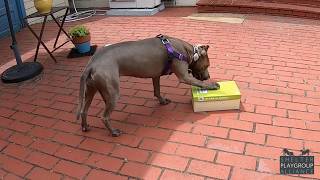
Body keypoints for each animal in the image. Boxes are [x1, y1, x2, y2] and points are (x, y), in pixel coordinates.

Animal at [77, 34, 220, 136]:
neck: (187, 51)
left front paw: (162, 101)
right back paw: (113, 132)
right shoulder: (184, 77)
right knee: (104, 117)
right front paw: (212, 85)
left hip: (91, 90)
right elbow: (200, 83)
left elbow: (157, 90)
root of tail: (92, 63)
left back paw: (85, 127)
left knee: (84, 110)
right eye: (207, 65)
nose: (208, 77)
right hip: (112, 93)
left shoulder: (155, 75)